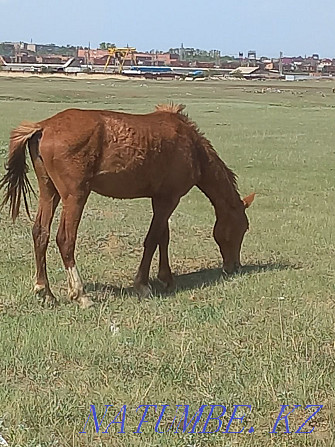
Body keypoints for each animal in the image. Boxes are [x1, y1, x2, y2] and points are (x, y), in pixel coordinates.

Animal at [0, 104, 255, 308]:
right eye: (242, 229)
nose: (234, 266)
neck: (191, 146)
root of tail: (43, 127)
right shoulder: (169, 199)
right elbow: (152, 239)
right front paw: (142, 284)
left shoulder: (161, 198)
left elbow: (163, 237)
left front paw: (166, 278)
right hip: (75, 196)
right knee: (65, 239)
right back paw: (80, 295)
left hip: (49, 191)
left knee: (40, 233)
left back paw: (45, 291)